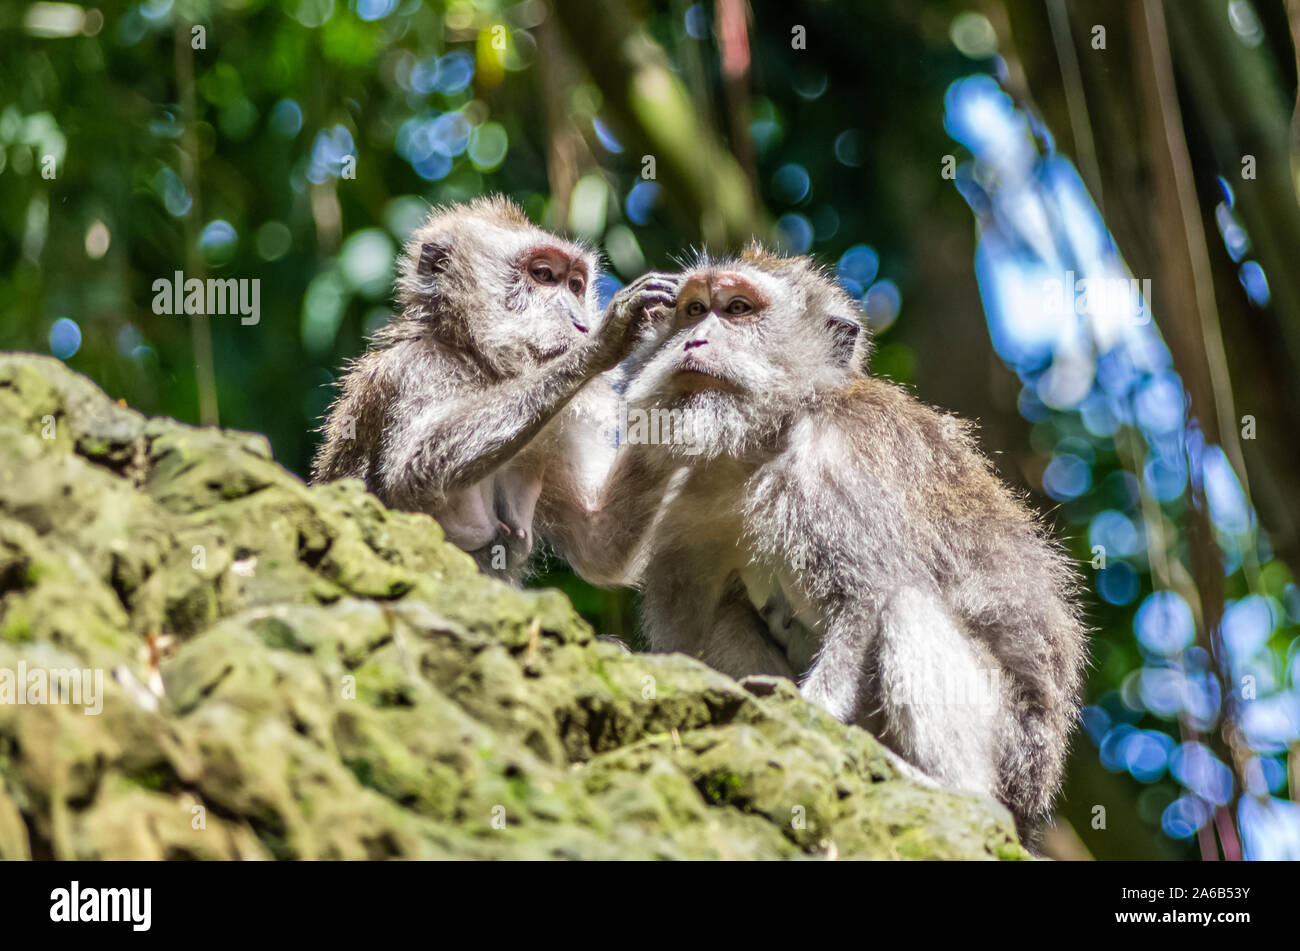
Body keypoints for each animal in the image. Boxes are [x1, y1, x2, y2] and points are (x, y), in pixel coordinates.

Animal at [311, 195, 678, 584]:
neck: (482, 365)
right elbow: (413, 472)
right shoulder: (417, 370)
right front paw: (603, 341)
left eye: (576, 286)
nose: (580, 323)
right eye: (543, 275)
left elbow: (599, 546)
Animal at [567, 245, 1088, 834]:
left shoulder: (840, 463)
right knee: (729, 613)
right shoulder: (688, 498)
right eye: (694, 309)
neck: (764, 441)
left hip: (1004, 745)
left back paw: (950, 791)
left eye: (739, 309)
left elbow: (866, 596)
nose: (693, 341)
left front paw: (810, 711)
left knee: (906, 605)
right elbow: (673, 620)